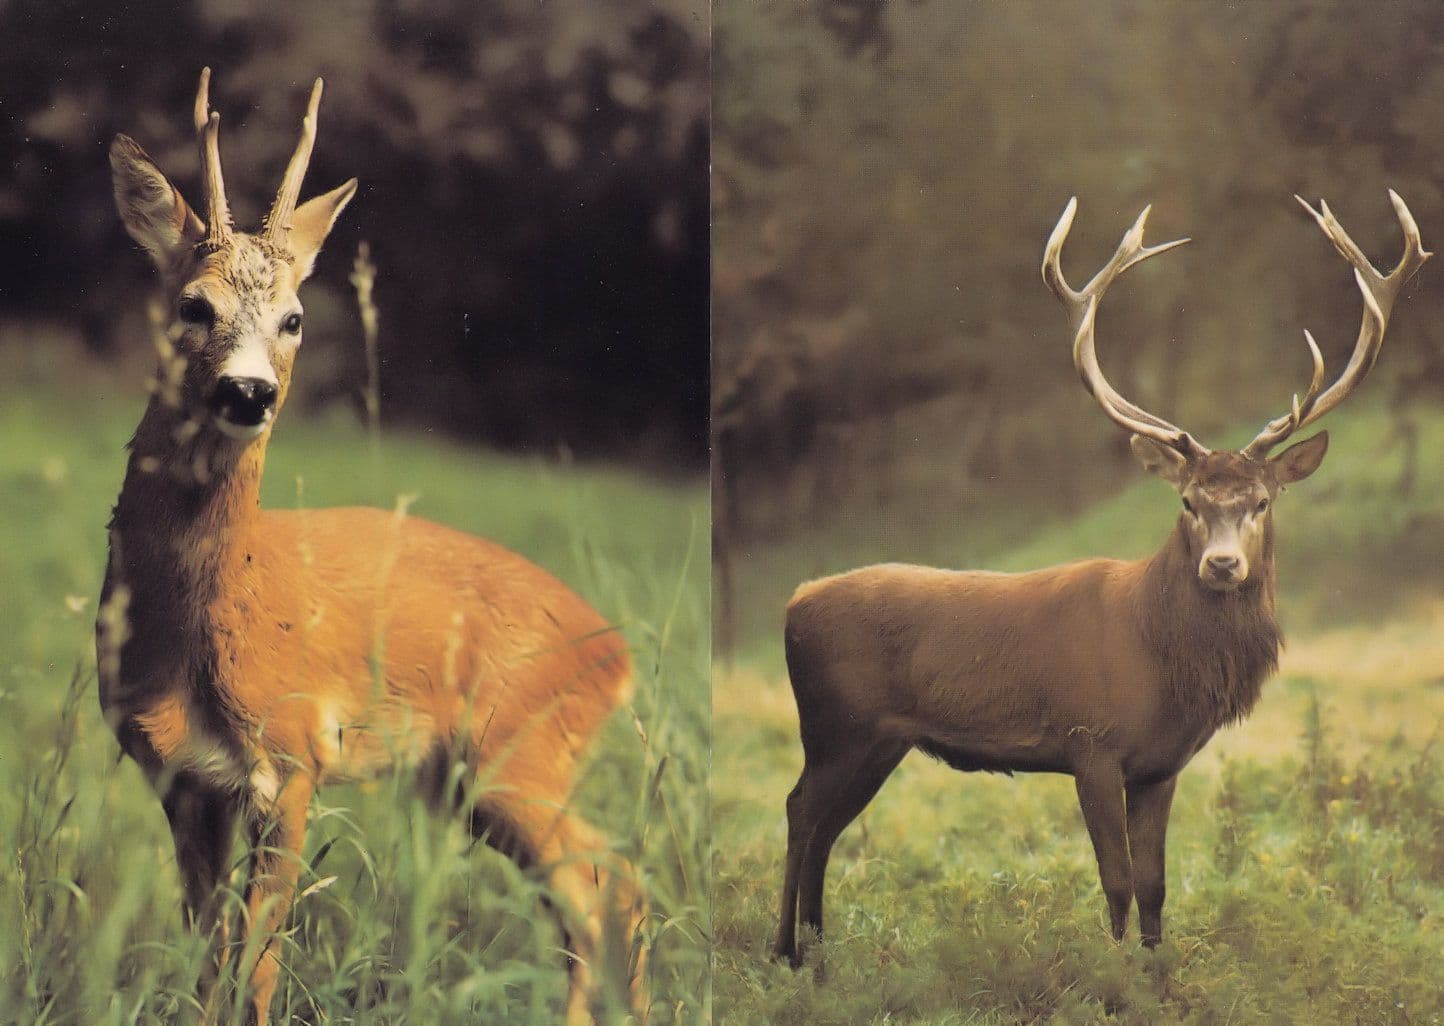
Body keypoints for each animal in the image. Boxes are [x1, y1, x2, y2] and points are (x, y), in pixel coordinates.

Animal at [97, 69, 645, 1026]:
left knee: (602, 882)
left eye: (295, 319)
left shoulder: (294, 758)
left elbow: (259, 967)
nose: (248, 392)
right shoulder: (181, 778)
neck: (192, 641)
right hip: (465, 778)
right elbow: (206, 961)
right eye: (194, 306)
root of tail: (618, 656)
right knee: (603, 884)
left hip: (517, 755)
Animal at [773, 191, 1428, 969]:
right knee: (800, 811)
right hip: (834, 724)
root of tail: (792, 603)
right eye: (1189, 502)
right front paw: (1111, 977)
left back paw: (818, 954)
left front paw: (1157, 975)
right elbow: (1114, 880)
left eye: (1262, 502)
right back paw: (783, 954)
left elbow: (1155, 886)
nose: (1222, 563)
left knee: (825, 828)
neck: (1162, 658)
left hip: (878, 741)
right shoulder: (1089, 741)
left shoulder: (1160, 765)